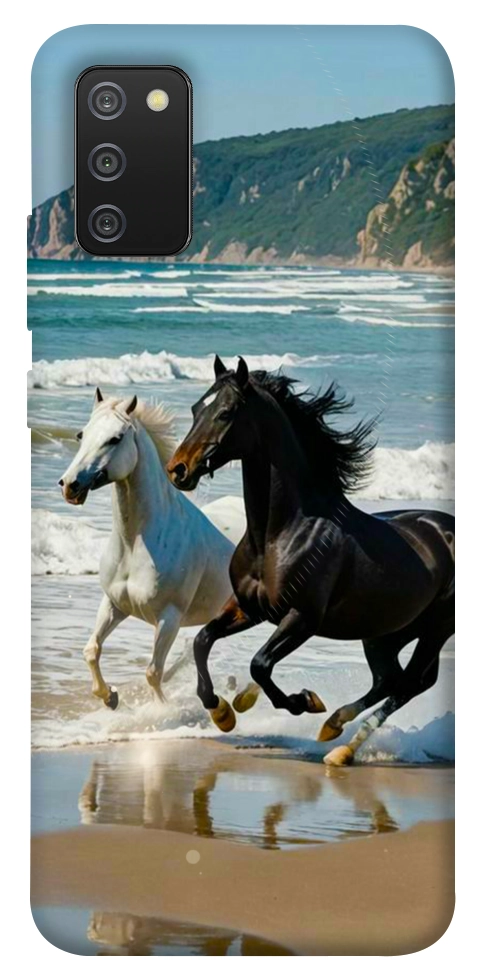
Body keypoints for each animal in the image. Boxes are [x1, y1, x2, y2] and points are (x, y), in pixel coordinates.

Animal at [59, 388, 234, 709]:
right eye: (81, 434)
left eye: (115, 438)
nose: (69, 485)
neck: (135, 544)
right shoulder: (114, 604)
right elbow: (91, 650)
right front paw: (110, 697)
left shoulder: (169, 618)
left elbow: (153, 672)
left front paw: (161, 711)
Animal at [166, 356, 455, 765]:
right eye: (195, 409)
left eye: (225, 413)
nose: (178, 469)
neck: (279, 534)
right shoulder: (248, 608)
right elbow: (202, 641)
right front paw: (222, 712)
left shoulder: (302, 618)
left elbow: (260, 663)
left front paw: (303, 701)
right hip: (385, 632)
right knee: (390, 679)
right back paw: (334, 728)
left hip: (435, 629)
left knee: (410, 683)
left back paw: (341, 746)